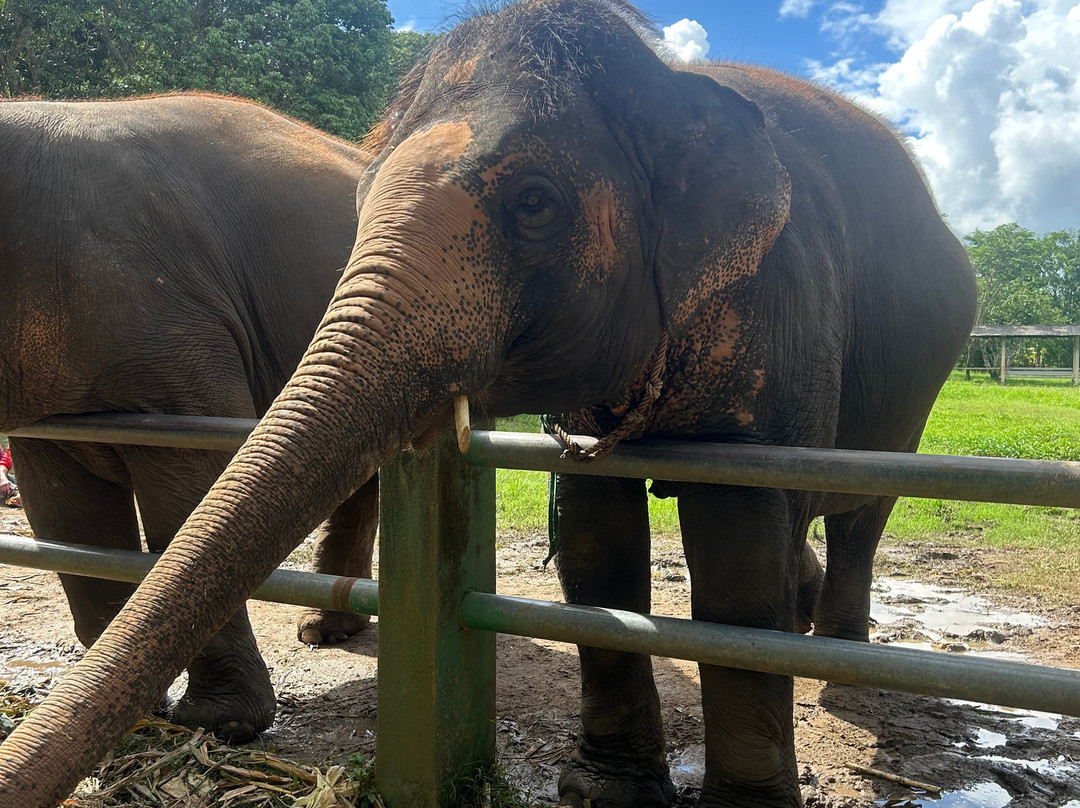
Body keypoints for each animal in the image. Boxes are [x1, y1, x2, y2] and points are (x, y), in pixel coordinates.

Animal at [0, 94, 378, 742]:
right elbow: (67, 518)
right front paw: (125, 712)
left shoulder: (178, 339)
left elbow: (195, 493)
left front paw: (223, 723)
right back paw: (325, 630)